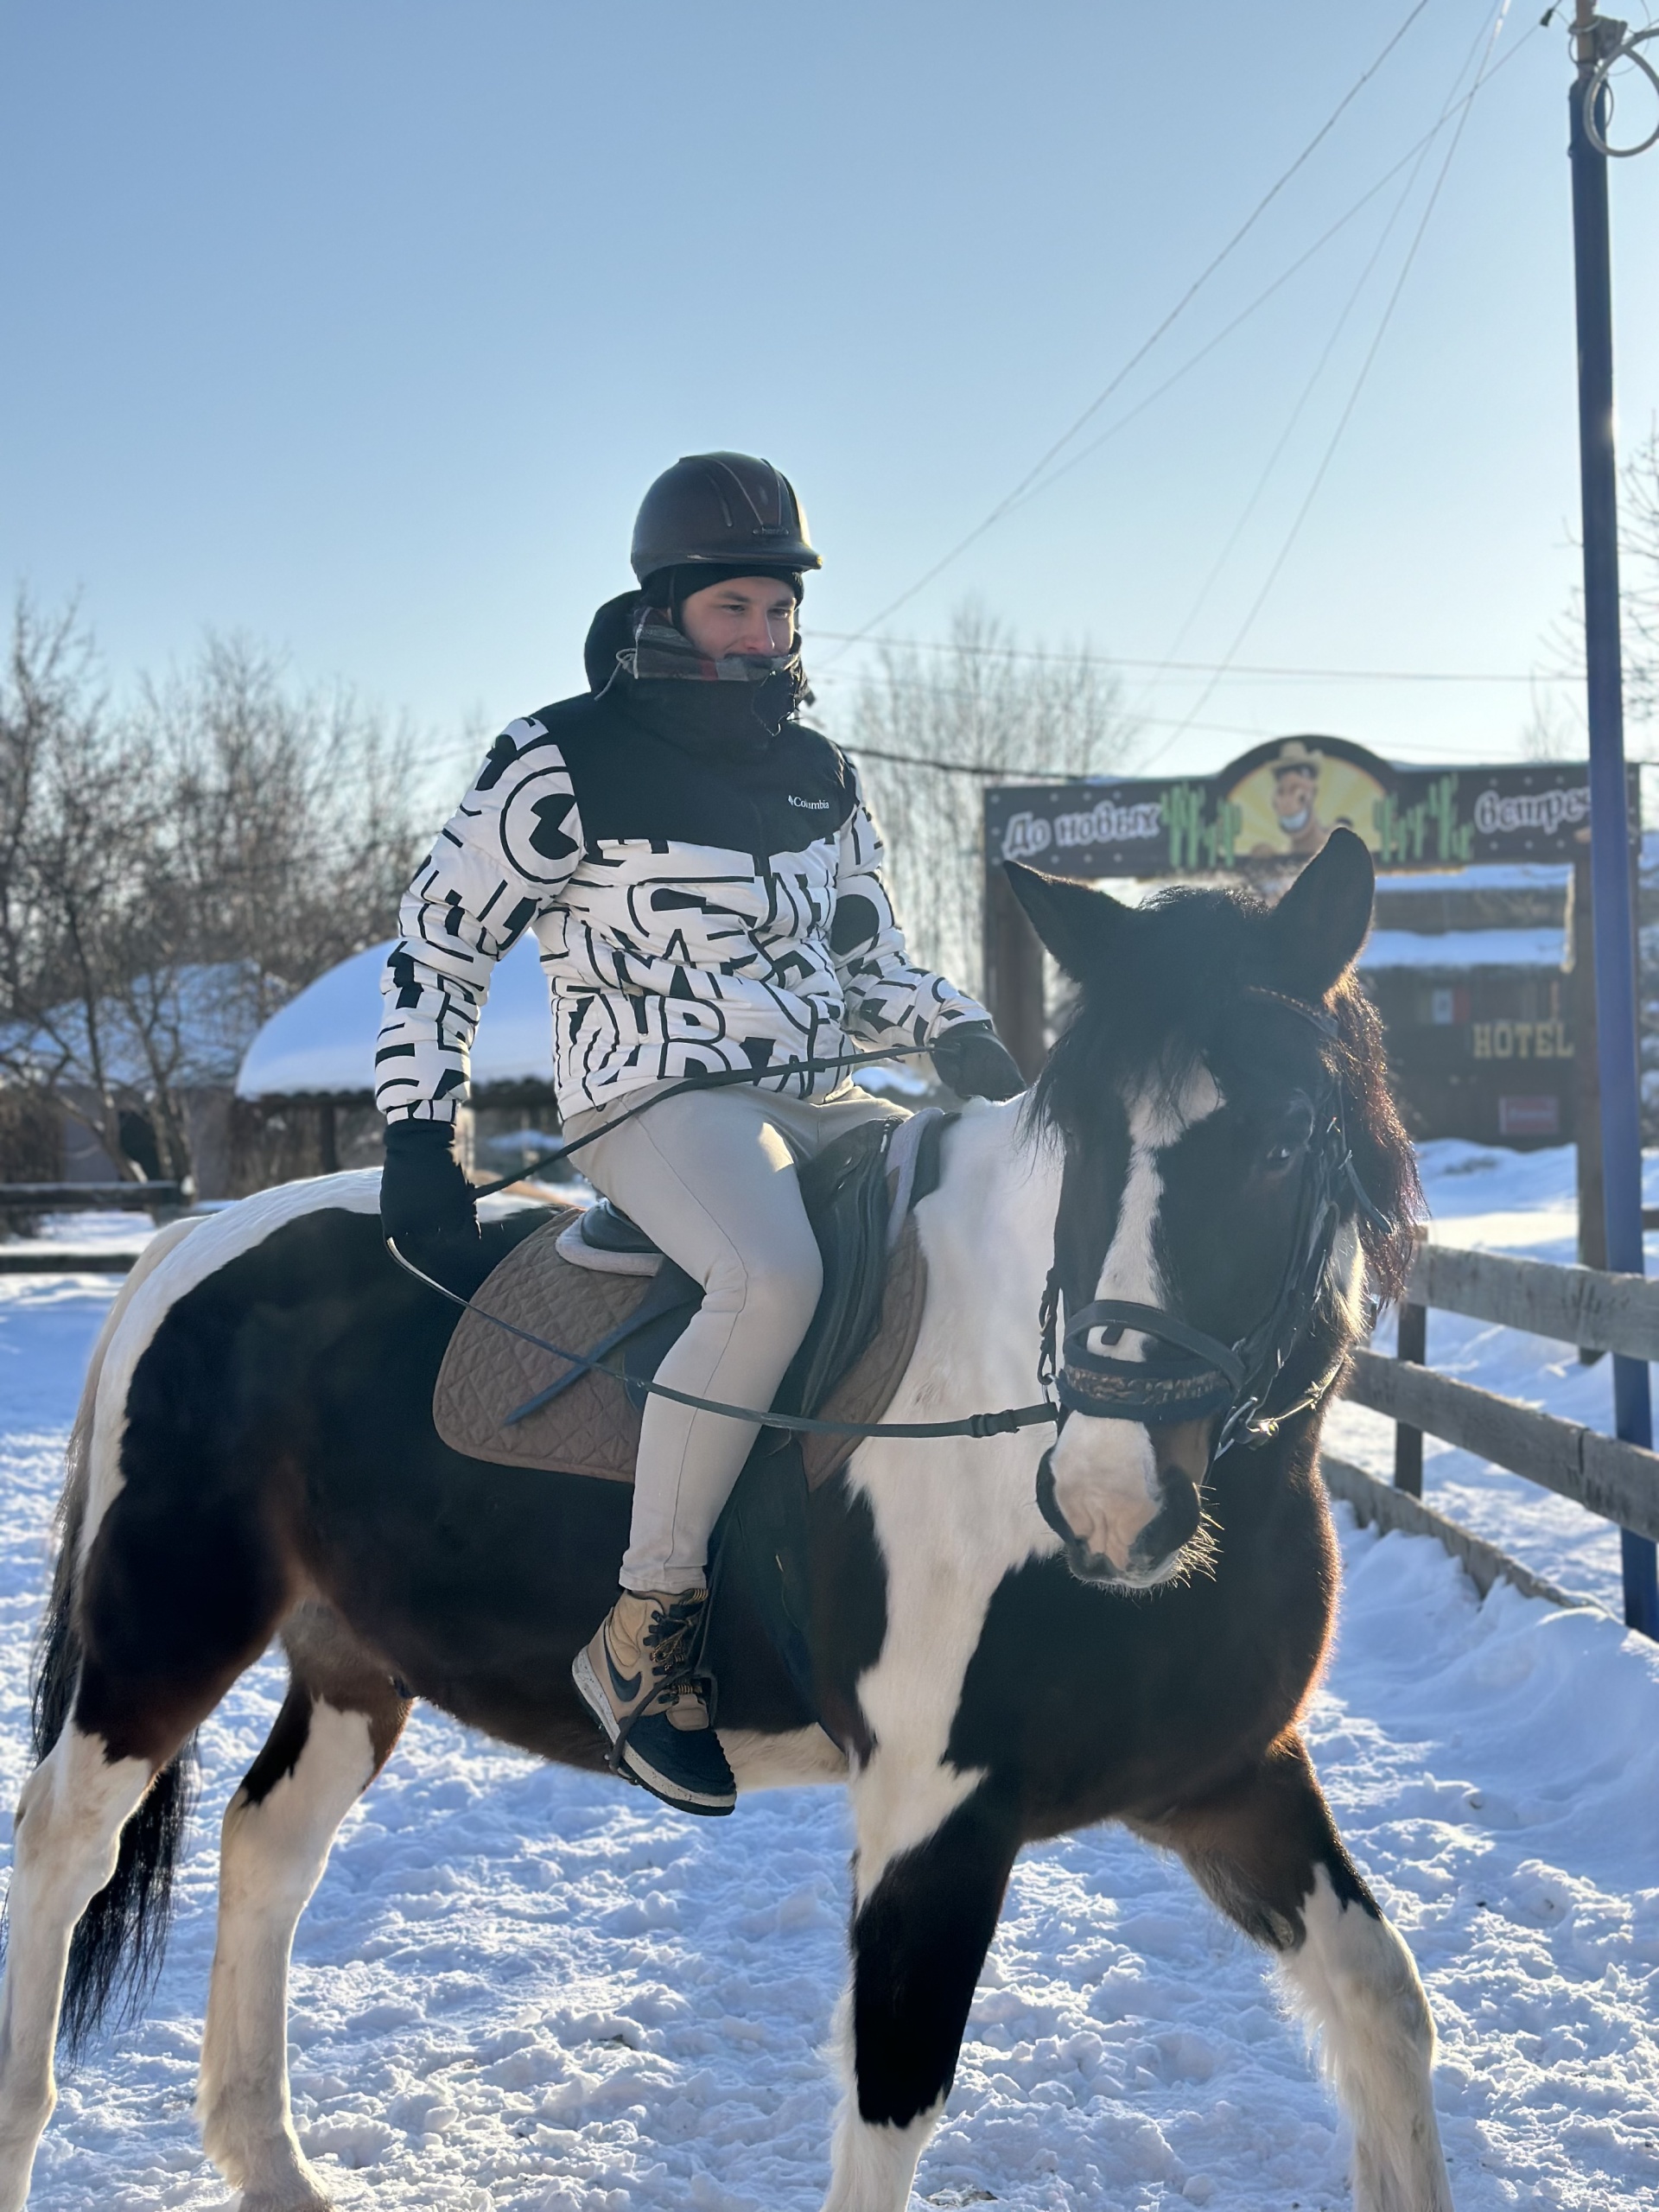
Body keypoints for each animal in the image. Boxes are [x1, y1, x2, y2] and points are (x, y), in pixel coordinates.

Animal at [0, 831, 1451, 2212]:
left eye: (1283, 1142)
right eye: (1082, 1143)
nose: (1106, 1495)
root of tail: (194, 1242)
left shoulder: (1231, 1777)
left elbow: (1387, 2010)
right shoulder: (935, 1817)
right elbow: (891, 2112)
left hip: (357, 1659)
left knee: (267, 1849)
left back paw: (275, 2167)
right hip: (166, 1634)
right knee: (64, 1845)